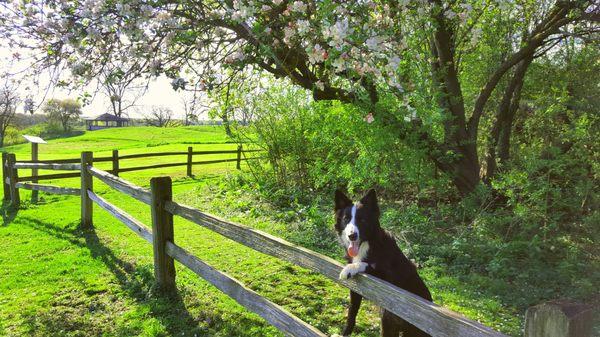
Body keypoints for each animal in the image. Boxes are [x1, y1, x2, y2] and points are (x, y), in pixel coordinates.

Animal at [332, 189, 432, 336]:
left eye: (362, 220)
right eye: (346, 219)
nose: (352, 236)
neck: (368, 244)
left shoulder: (389, 281)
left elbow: (368, 265)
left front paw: (350, 268)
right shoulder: (356, 290)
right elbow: (352, 312)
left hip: (389, 316)